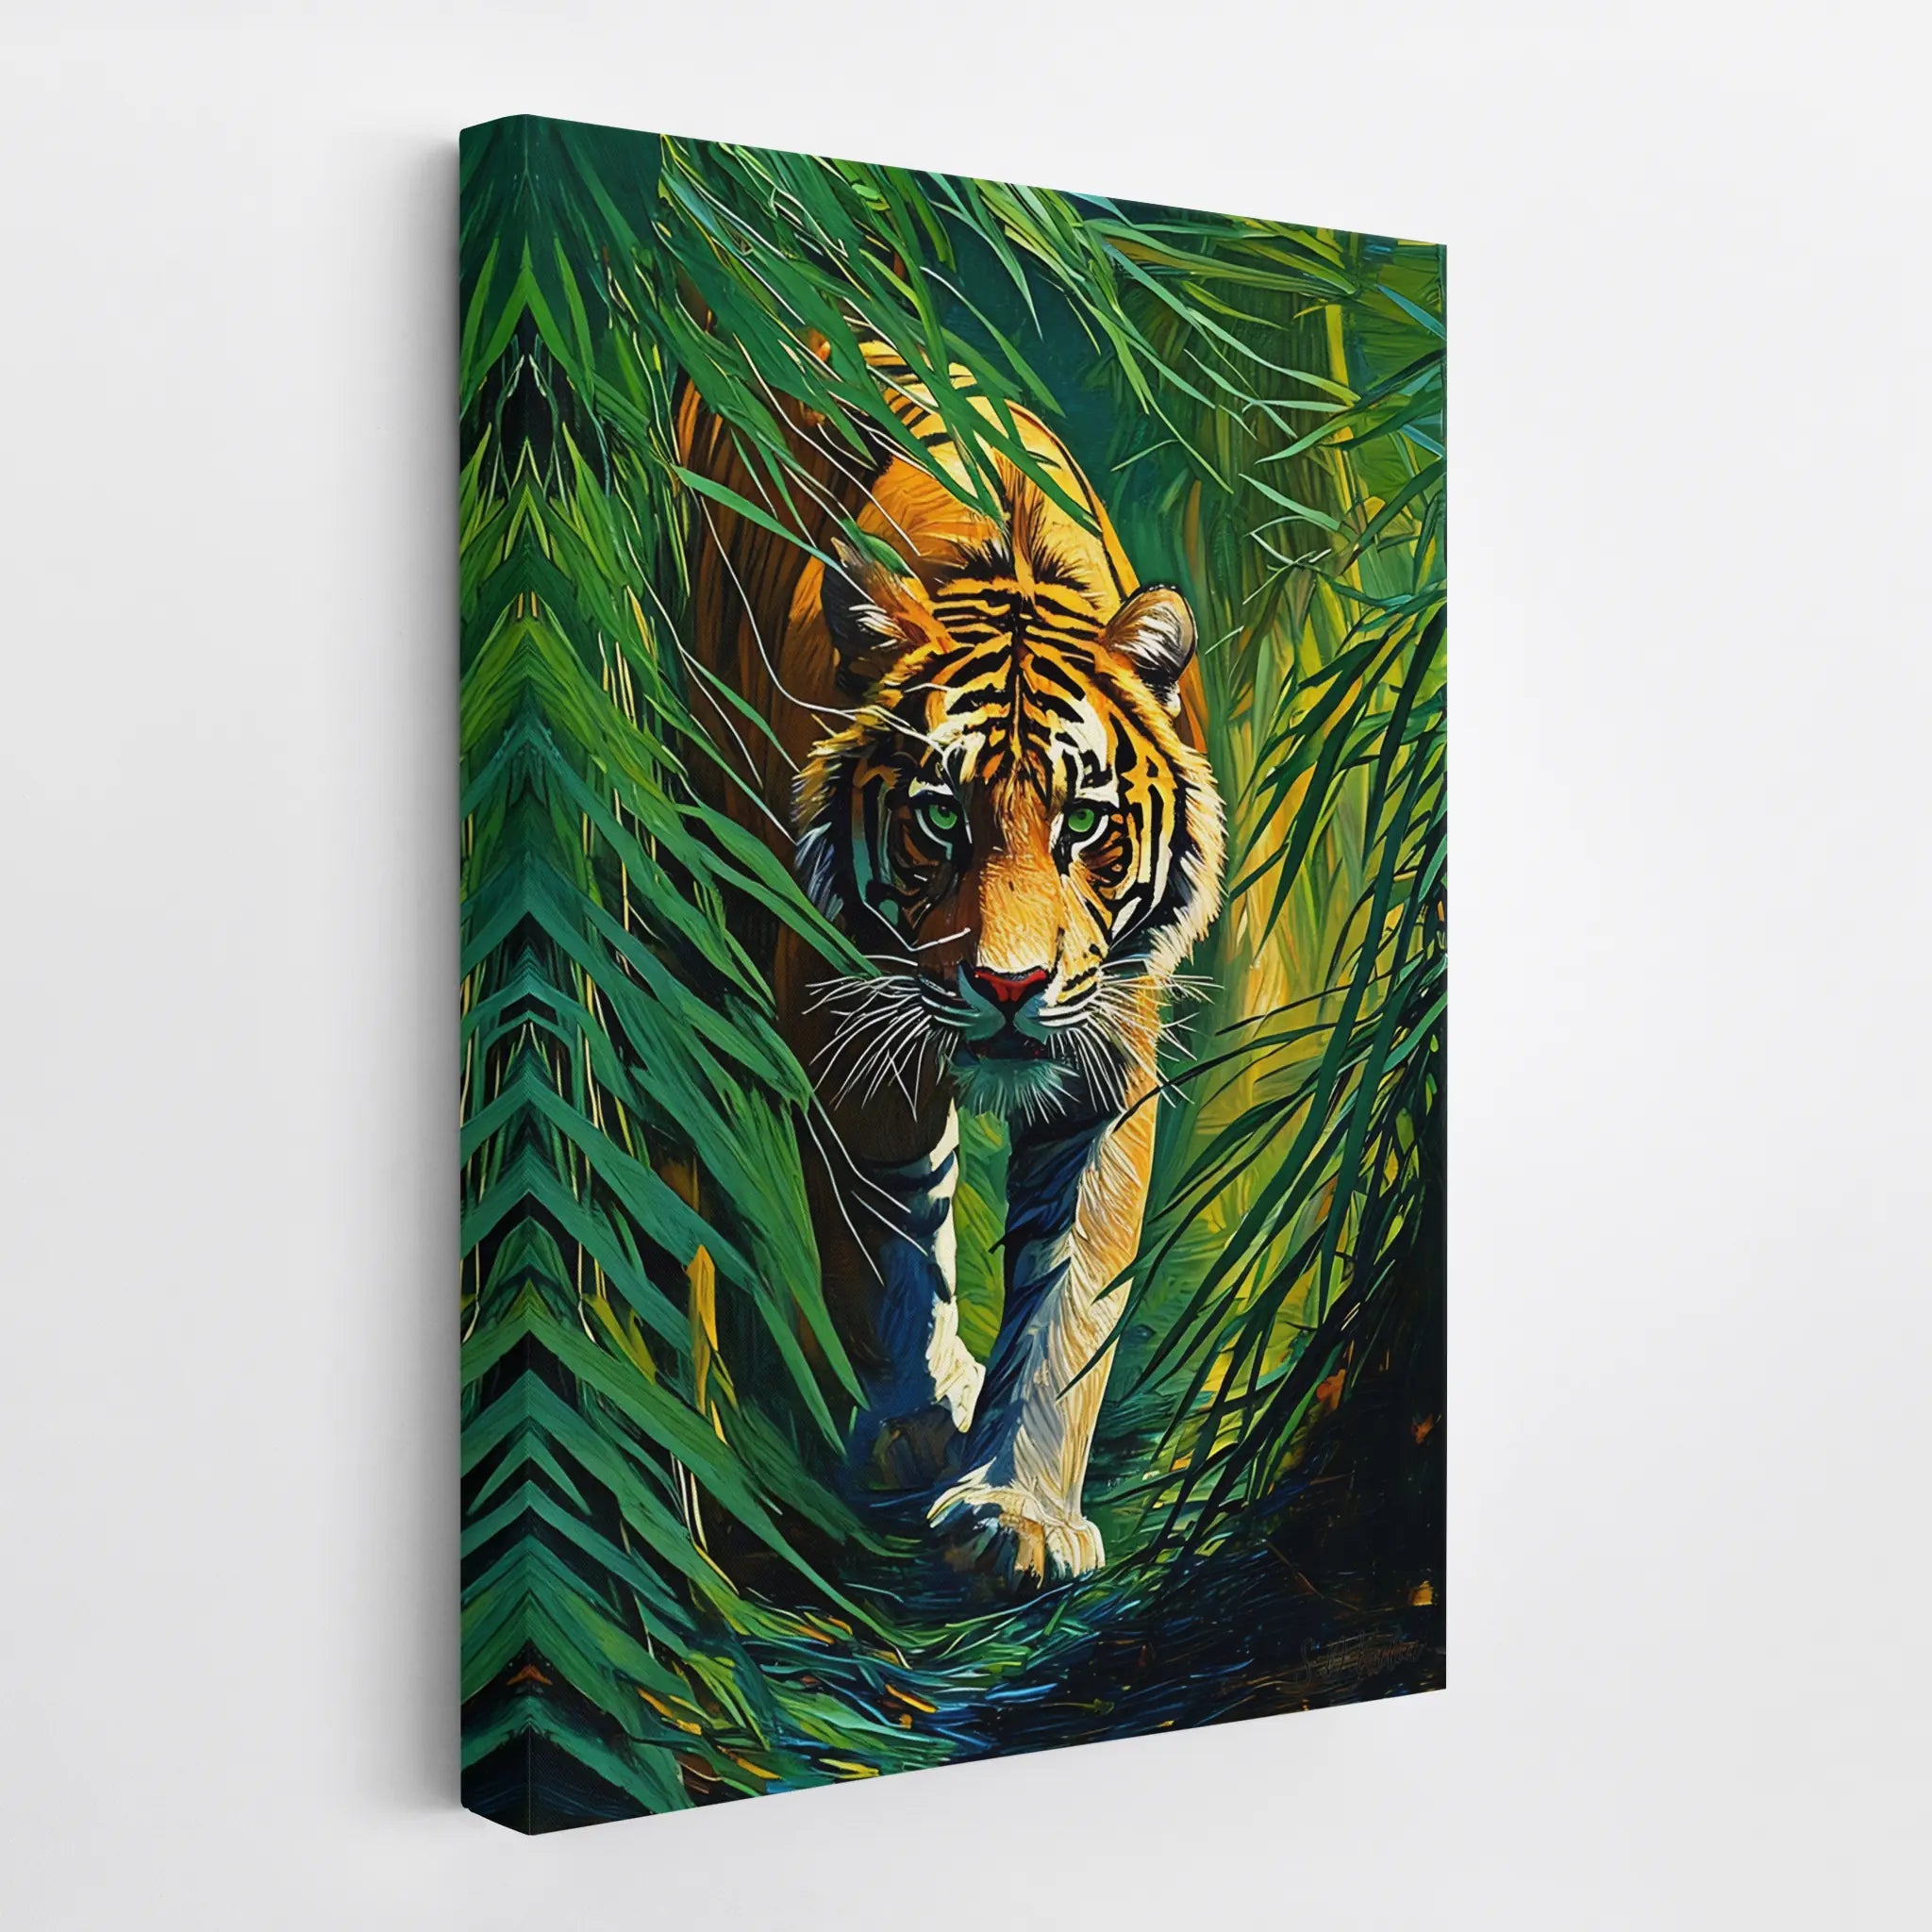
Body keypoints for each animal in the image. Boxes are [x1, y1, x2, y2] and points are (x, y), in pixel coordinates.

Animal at [675, 338, 1224, 1593]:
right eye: (938, 818)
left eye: (1083, 822)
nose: (1010, 987)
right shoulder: (845, 1022)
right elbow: (883, 1244)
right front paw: (920, 1428)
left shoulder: (1107, 1053)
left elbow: (1070, 1295)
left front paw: (1017, 1509)